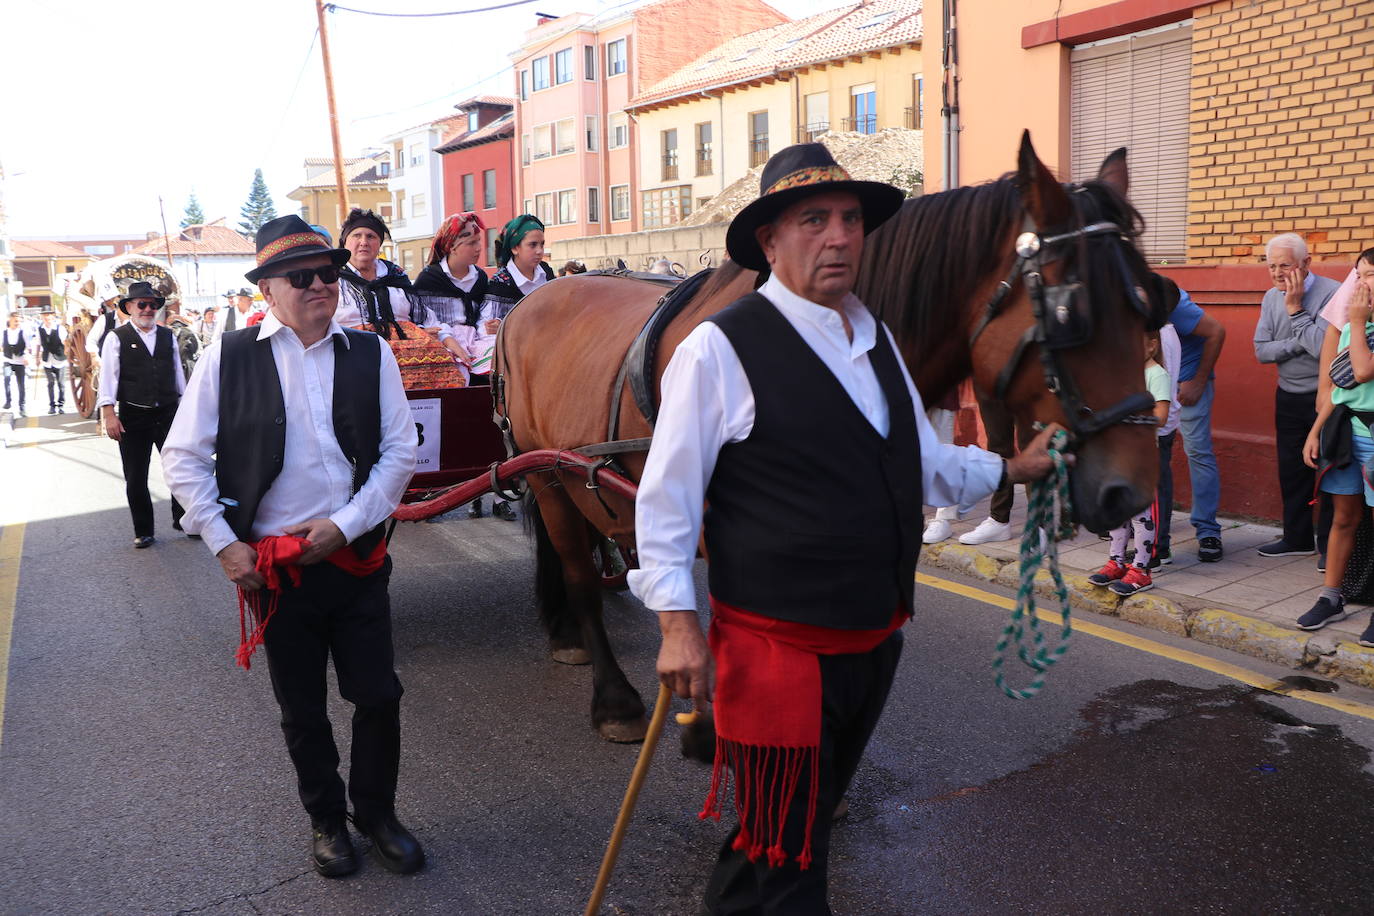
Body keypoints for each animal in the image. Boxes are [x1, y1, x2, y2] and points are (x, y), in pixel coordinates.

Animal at [494, 132, 1159, 741]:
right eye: (1072, 315)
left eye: (1149, 301)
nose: (1130, 490)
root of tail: (532, 301)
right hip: (548, 474)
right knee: (579, 573)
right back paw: (613, 695)